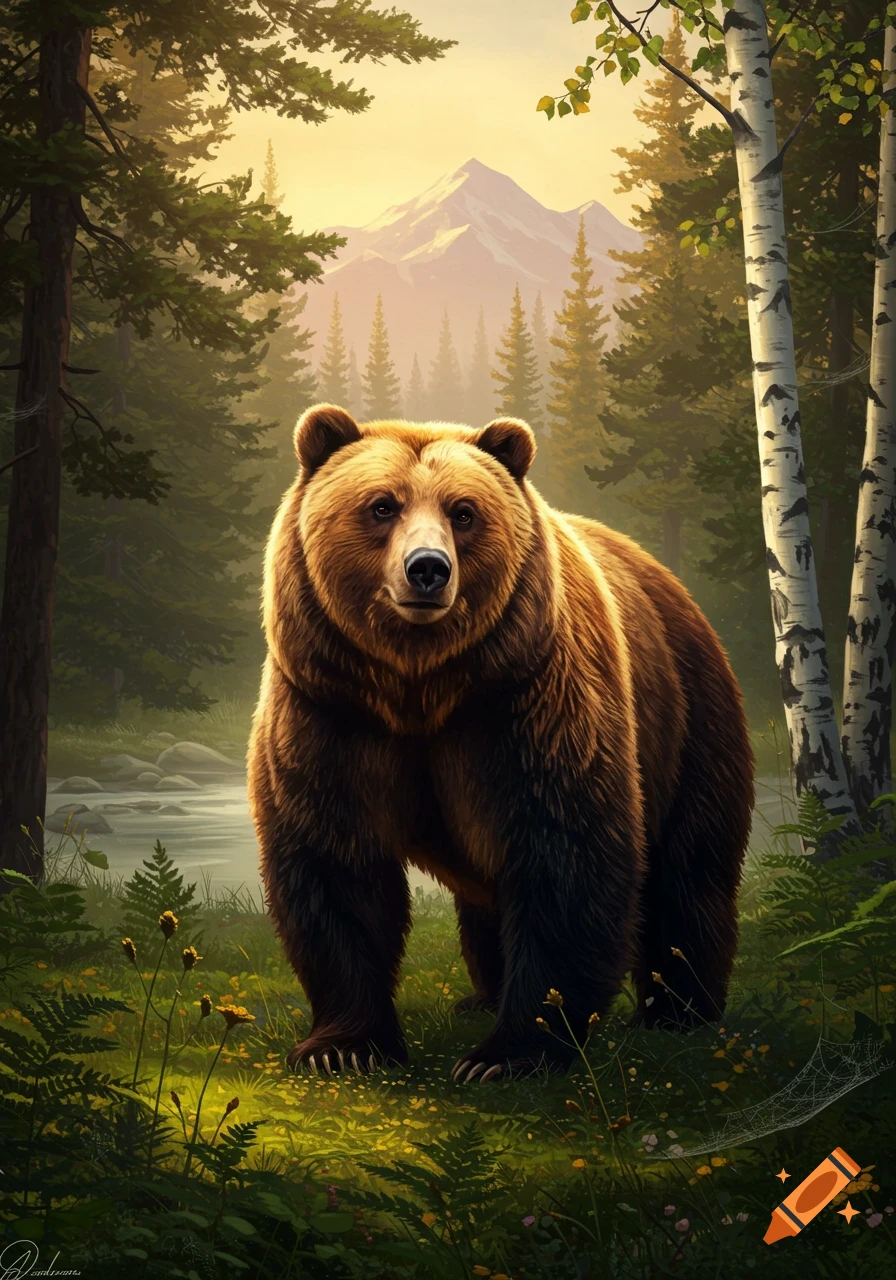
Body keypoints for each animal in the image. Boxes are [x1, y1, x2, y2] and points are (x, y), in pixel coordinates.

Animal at [247, 403, 754, 1082]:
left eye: (463, 511)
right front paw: (342, 1046)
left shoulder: (531, 700)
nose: (427, 568)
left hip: (689, 712)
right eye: (382, 505)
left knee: (689, 868)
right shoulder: (329, 706)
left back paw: (679, 1010)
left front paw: (507, 1056)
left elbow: (564, 853)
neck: (421, 687)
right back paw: (481, 995)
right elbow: (336, 861)